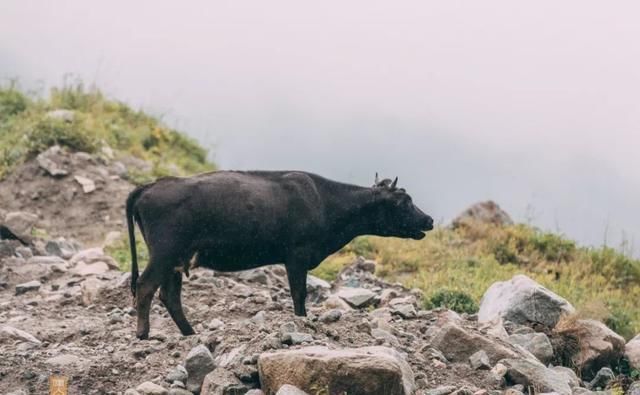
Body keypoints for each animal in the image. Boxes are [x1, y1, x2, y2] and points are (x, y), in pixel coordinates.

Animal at [127, 171, 432, 340]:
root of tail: (149, 186)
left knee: (169, 296)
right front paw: (302, 322)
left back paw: (190, 333)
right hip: (164, 253)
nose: (428, 220)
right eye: (404, 202)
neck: (325, 202)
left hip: (176, 260)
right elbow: (299, 293)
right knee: (145, 286)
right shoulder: (297, 255)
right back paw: (143, 333)